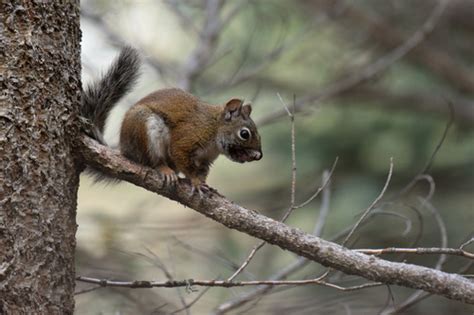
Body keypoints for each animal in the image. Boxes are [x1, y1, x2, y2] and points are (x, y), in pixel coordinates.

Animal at [79, 47, 262, 193]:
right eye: (244, 134)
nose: (259, 156)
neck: (214, 128)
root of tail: (125, 151)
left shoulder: (205, 160)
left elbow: (202, 171)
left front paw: (202, 182)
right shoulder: (188, 137)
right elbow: (182, 157)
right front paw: (195, 182)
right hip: (144, 128)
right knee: (150, 161)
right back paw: (164, 169)